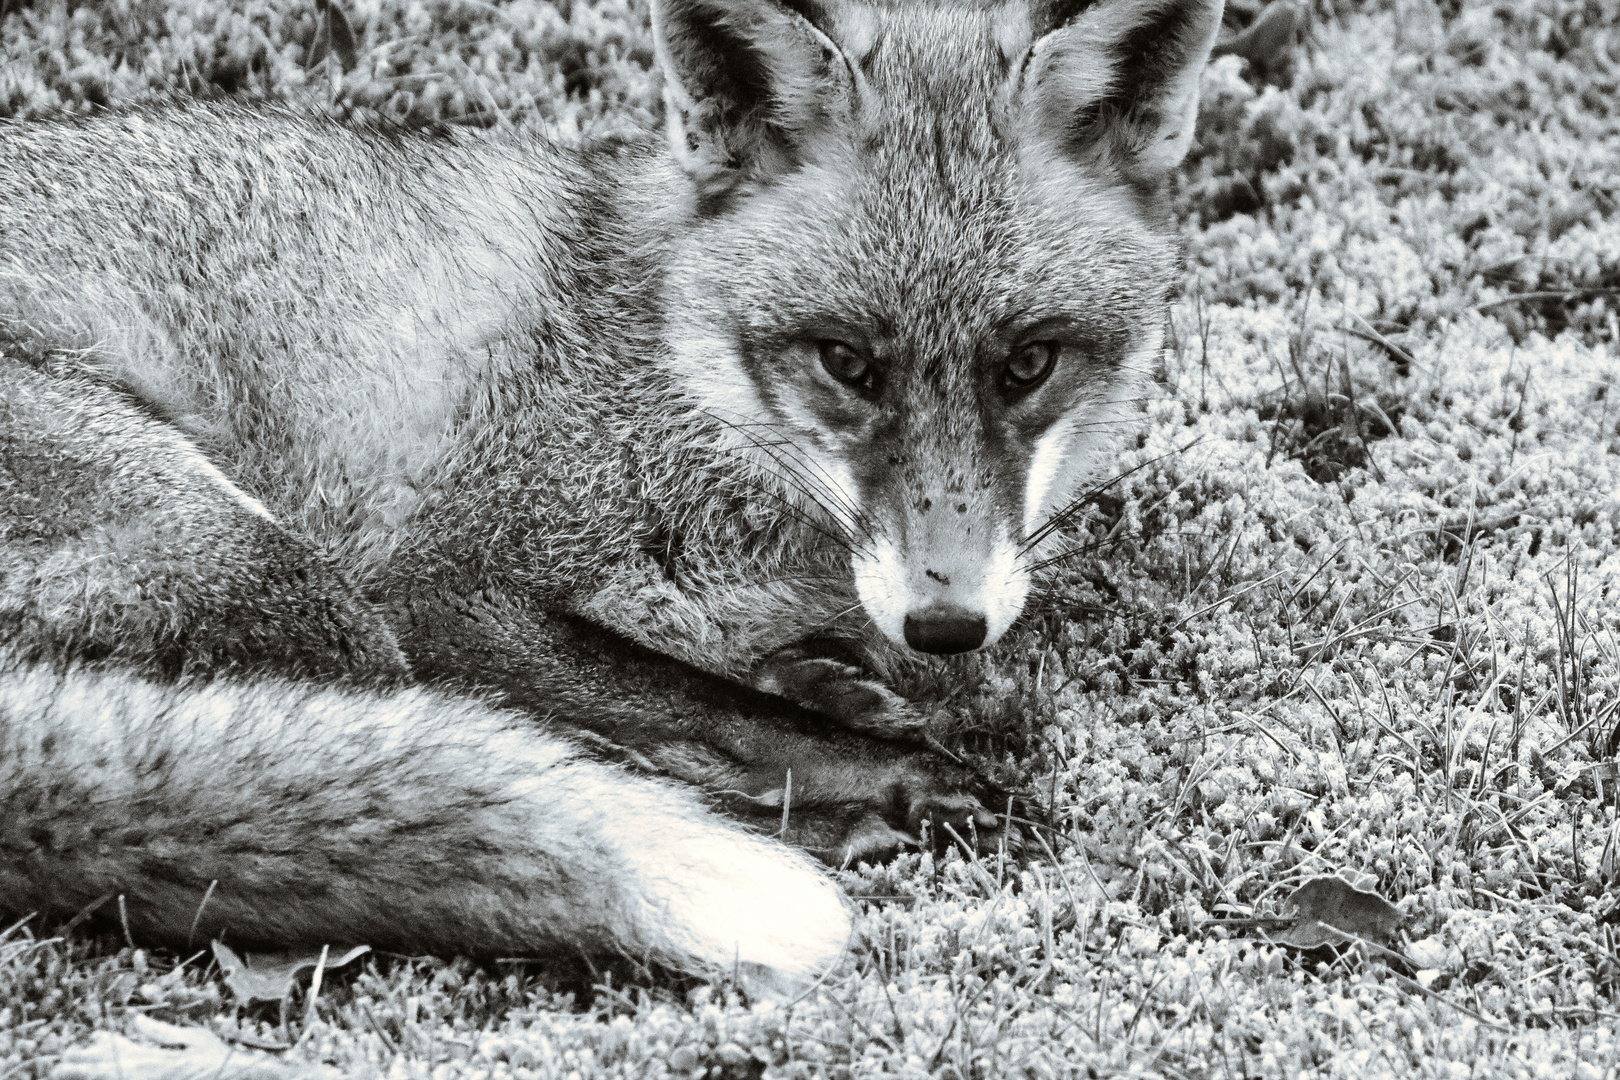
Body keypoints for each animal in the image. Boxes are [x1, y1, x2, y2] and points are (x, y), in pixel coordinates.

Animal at [0, 0, 1218, 997]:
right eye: (845, 362)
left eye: (1029, 364)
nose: (947, 625)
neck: (677, 385)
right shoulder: (440, 586)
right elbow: (688, 702)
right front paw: (888, 770)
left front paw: (831, 685)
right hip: (285, 574)